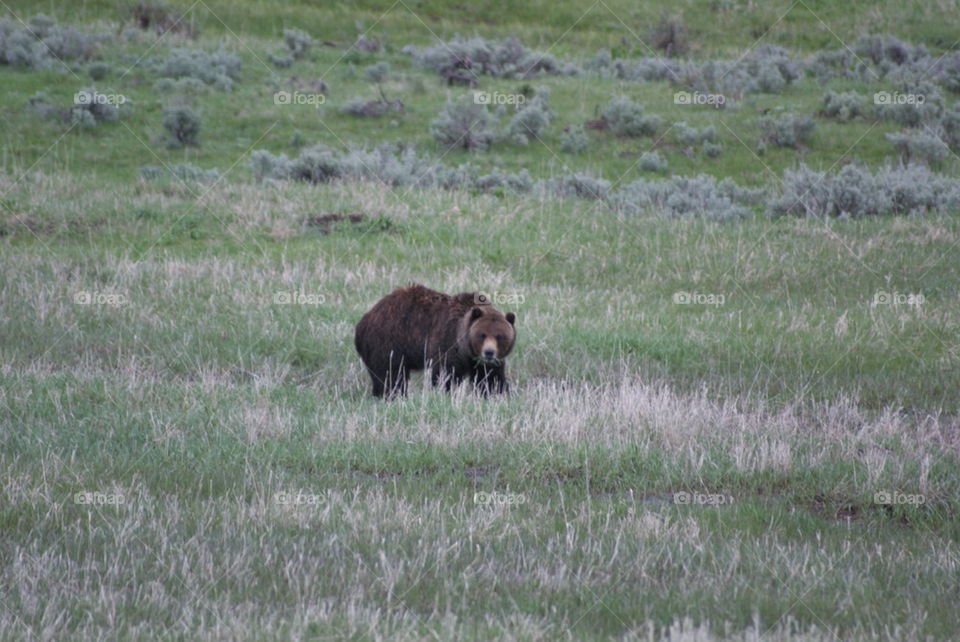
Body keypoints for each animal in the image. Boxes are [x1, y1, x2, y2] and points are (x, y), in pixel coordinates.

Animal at [354, 284, 516, 398]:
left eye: (499, 336)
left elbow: (491, 379)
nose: (489, 352)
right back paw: (394, 395)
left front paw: (497, 394)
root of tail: (363, 321)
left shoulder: (485, 363)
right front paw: (445, 392)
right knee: (391, 374)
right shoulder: (446, 340)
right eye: (482, 335)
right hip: (389, 341)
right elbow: (445, 373)